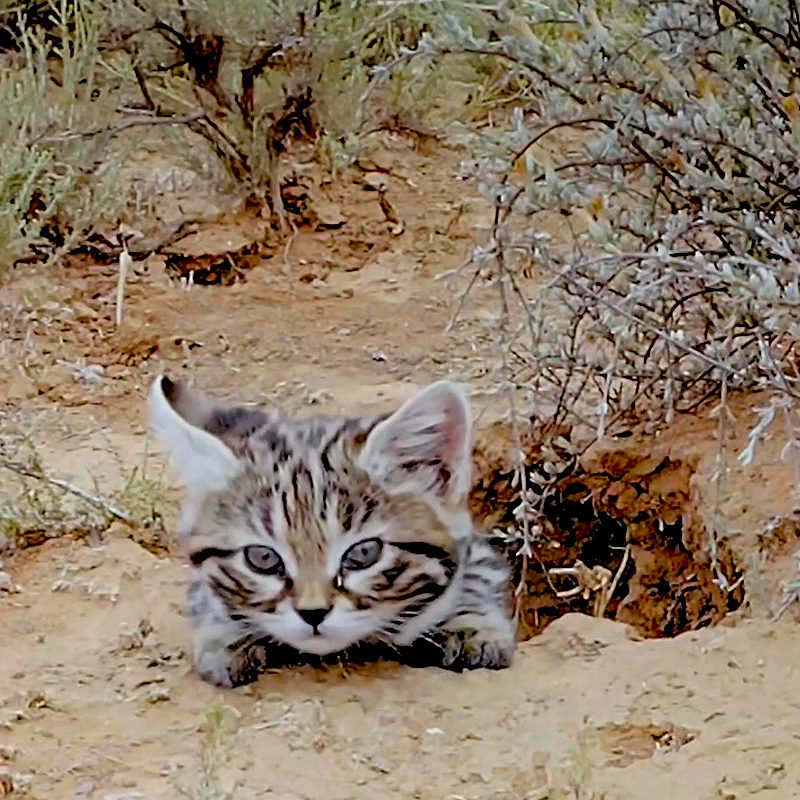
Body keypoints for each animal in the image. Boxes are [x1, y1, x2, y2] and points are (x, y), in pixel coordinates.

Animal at [148, 376, 516, 688]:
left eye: (363, 553)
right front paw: (225, 635)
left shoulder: (479, 551)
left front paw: (472, 625)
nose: (313, 613)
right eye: (262, 558)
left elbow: (479, 575)